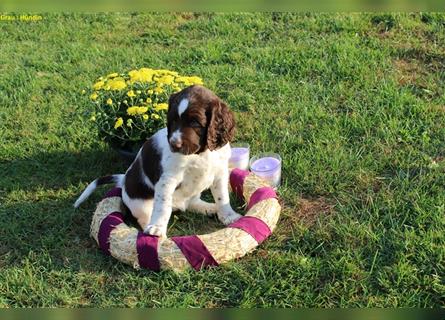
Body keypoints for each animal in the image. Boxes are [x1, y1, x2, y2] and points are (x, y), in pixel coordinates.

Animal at [73, 85, 239, 238]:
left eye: (195, 123)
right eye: (173, 120)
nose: (174, 144)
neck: (201, 153)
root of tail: (124, 179)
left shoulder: (220, 173)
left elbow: (222, 196)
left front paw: (229, 215)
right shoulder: (168, 179)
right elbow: (162, 205)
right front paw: (157, 229)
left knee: (191, 202)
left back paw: (209, 208)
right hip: (141, 204)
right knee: (146, 217)